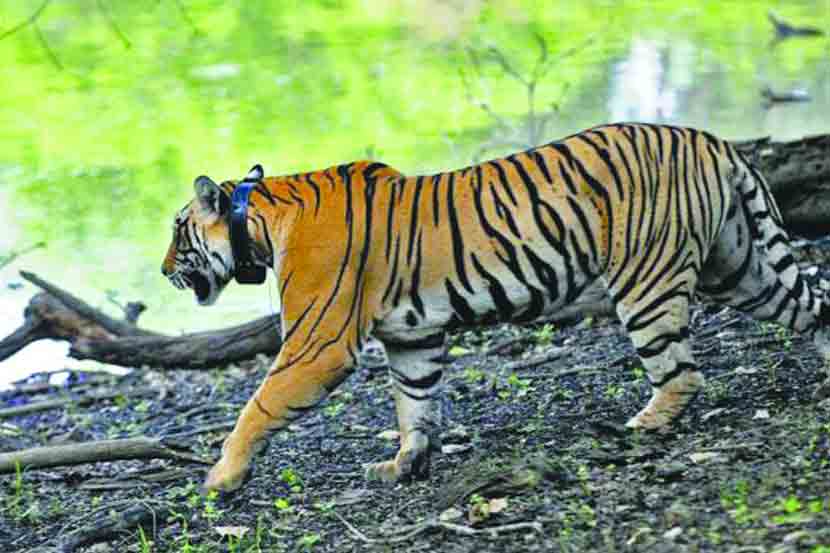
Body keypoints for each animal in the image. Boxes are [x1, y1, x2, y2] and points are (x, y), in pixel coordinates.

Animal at [161, 123, 830, 490]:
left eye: (176, 230)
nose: (164, 271)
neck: (260, 219)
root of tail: (710, 138)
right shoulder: (412, 337)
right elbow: (415, 403)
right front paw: (404, 465)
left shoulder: (317, 342)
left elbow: (258, 405)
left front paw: (222, 478)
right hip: (739, 267)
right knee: (812, 303)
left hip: (647, 279)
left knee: (682, 372)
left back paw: (644, 425)